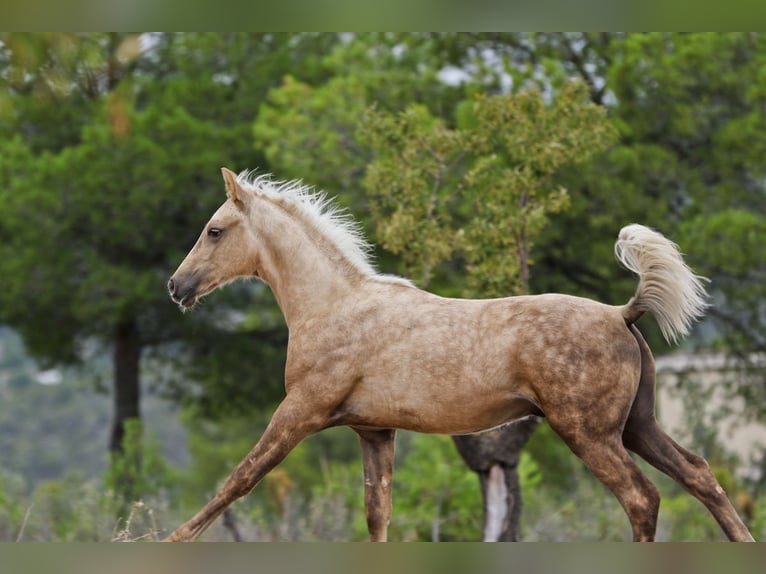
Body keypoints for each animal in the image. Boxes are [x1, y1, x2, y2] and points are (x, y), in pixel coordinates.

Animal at [166, 168, 756, 544]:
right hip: (637, 425)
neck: (333, 305)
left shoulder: (300, 411)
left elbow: (238, 480)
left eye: (214, 230)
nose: (176, 286)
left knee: (643, 498)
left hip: (590, 433)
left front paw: (171, 539)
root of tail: (621, 313)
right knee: (700, 474)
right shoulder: (374, 431)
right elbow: (378, 513)